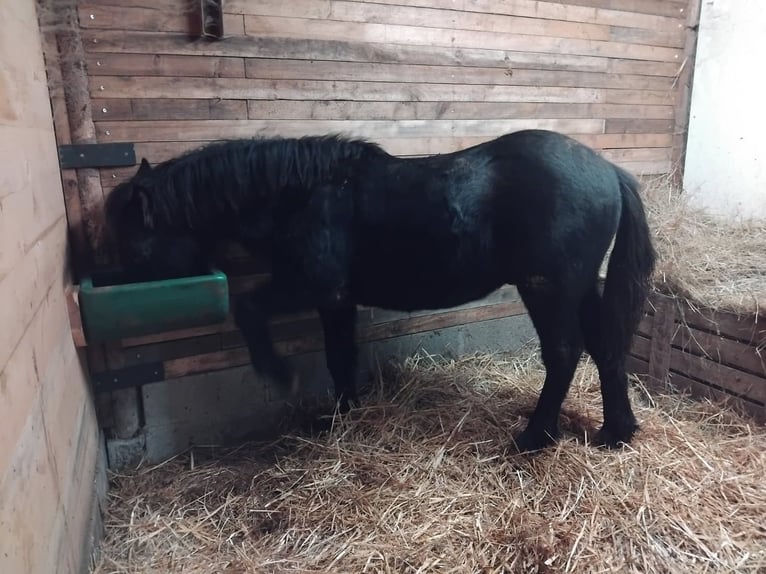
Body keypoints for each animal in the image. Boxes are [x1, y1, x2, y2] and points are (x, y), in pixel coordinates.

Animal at [104, 129, 656, 452]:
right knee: (606, 349)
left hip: (548, 289)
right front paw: (342, 418)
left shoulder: (314, 285)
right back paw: (615, 432)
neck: (303, 194)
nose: (110, 284)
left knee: (564, 353)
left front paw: (280, 374)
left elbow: (249, 309)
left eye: (129, 240)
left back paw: (535, 438)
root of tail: (610, 172)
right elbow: (339, 357)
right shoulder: (337, 301)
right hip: (580, 288)